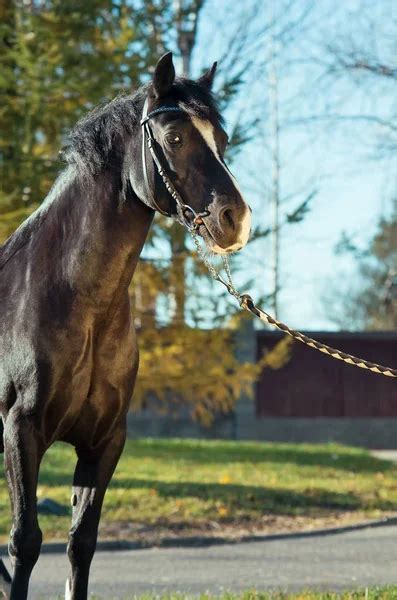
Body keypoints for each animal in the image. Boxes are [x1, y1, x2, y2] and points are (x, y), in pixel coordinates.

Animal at [0, 52, 249, 600]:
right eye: (174, 138)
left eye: (221, 138)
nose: (235, 220)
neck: (79, 301)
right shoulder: (21, 430)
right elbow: (26, 541)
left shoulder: (105, 441)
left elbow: (81, 544)